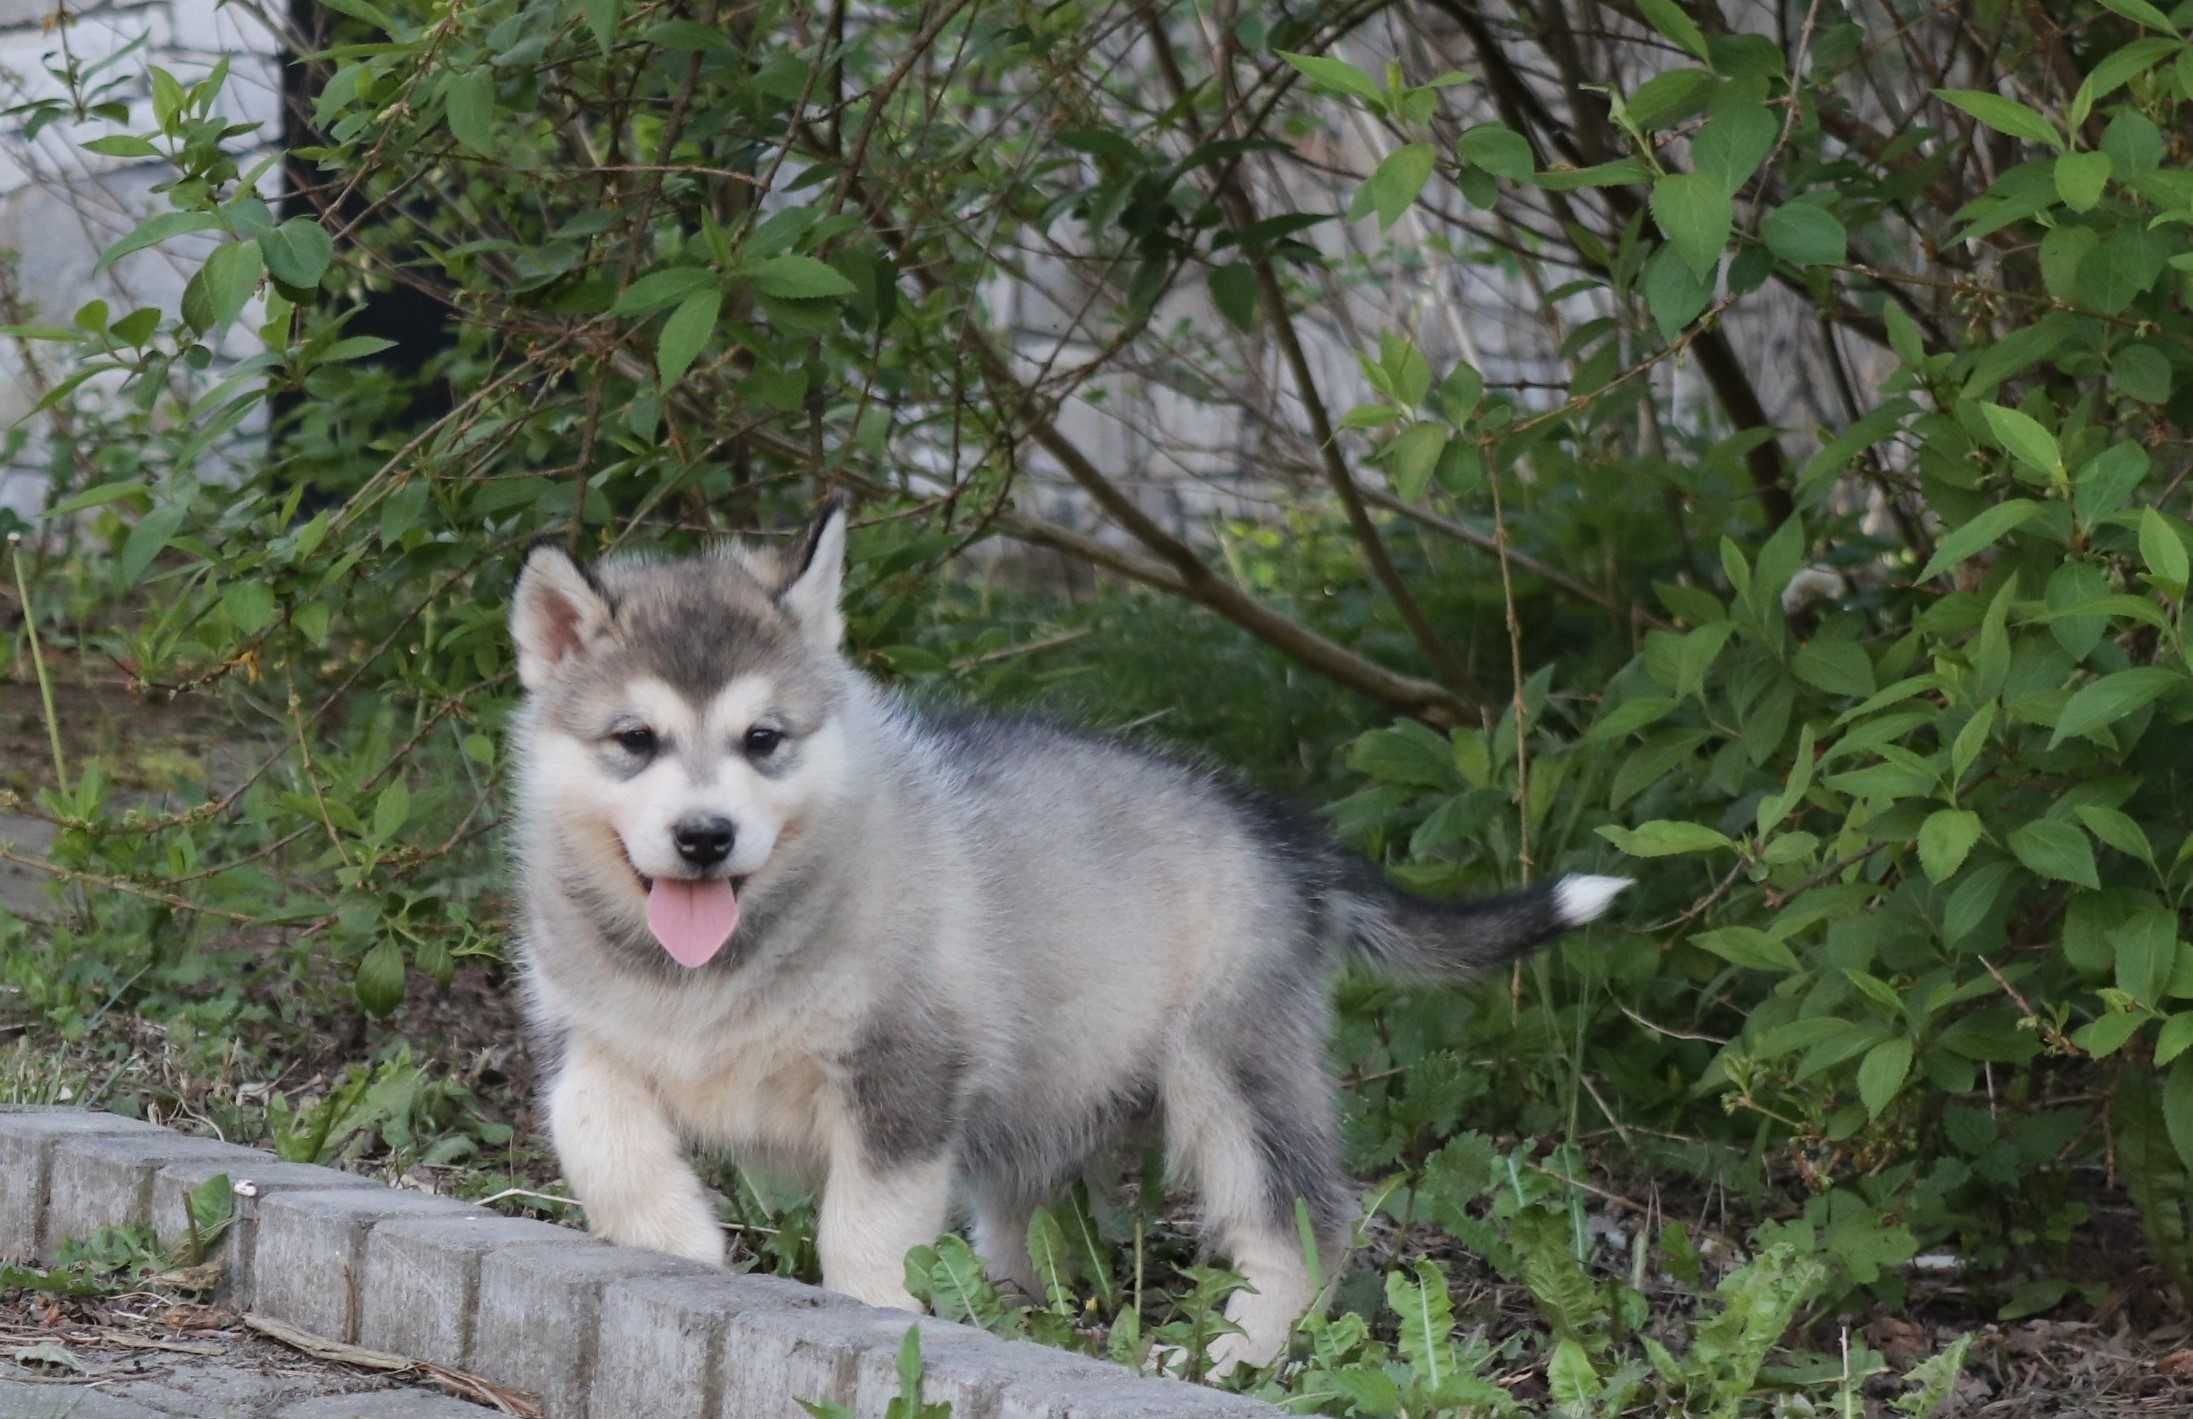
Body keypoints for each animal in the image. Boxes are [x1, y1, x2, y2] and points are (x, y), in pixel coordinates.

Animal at [502, 502, 1631, 1377]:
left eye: (763, 740)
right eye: (634, 739)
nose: (704, 836)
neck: (713, 968)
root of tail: (1280, 829)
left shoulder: (905, 1072)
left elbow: (867, 1228)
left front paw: (876, 1314)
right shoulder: (584, 1033)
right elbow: (594, 1131)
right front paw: (677, 1243)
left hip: (1229, 1066)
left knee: (1302, 1223)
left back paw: (1232, 1353)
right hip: (1053, 1092)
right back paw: (1021, 1300)